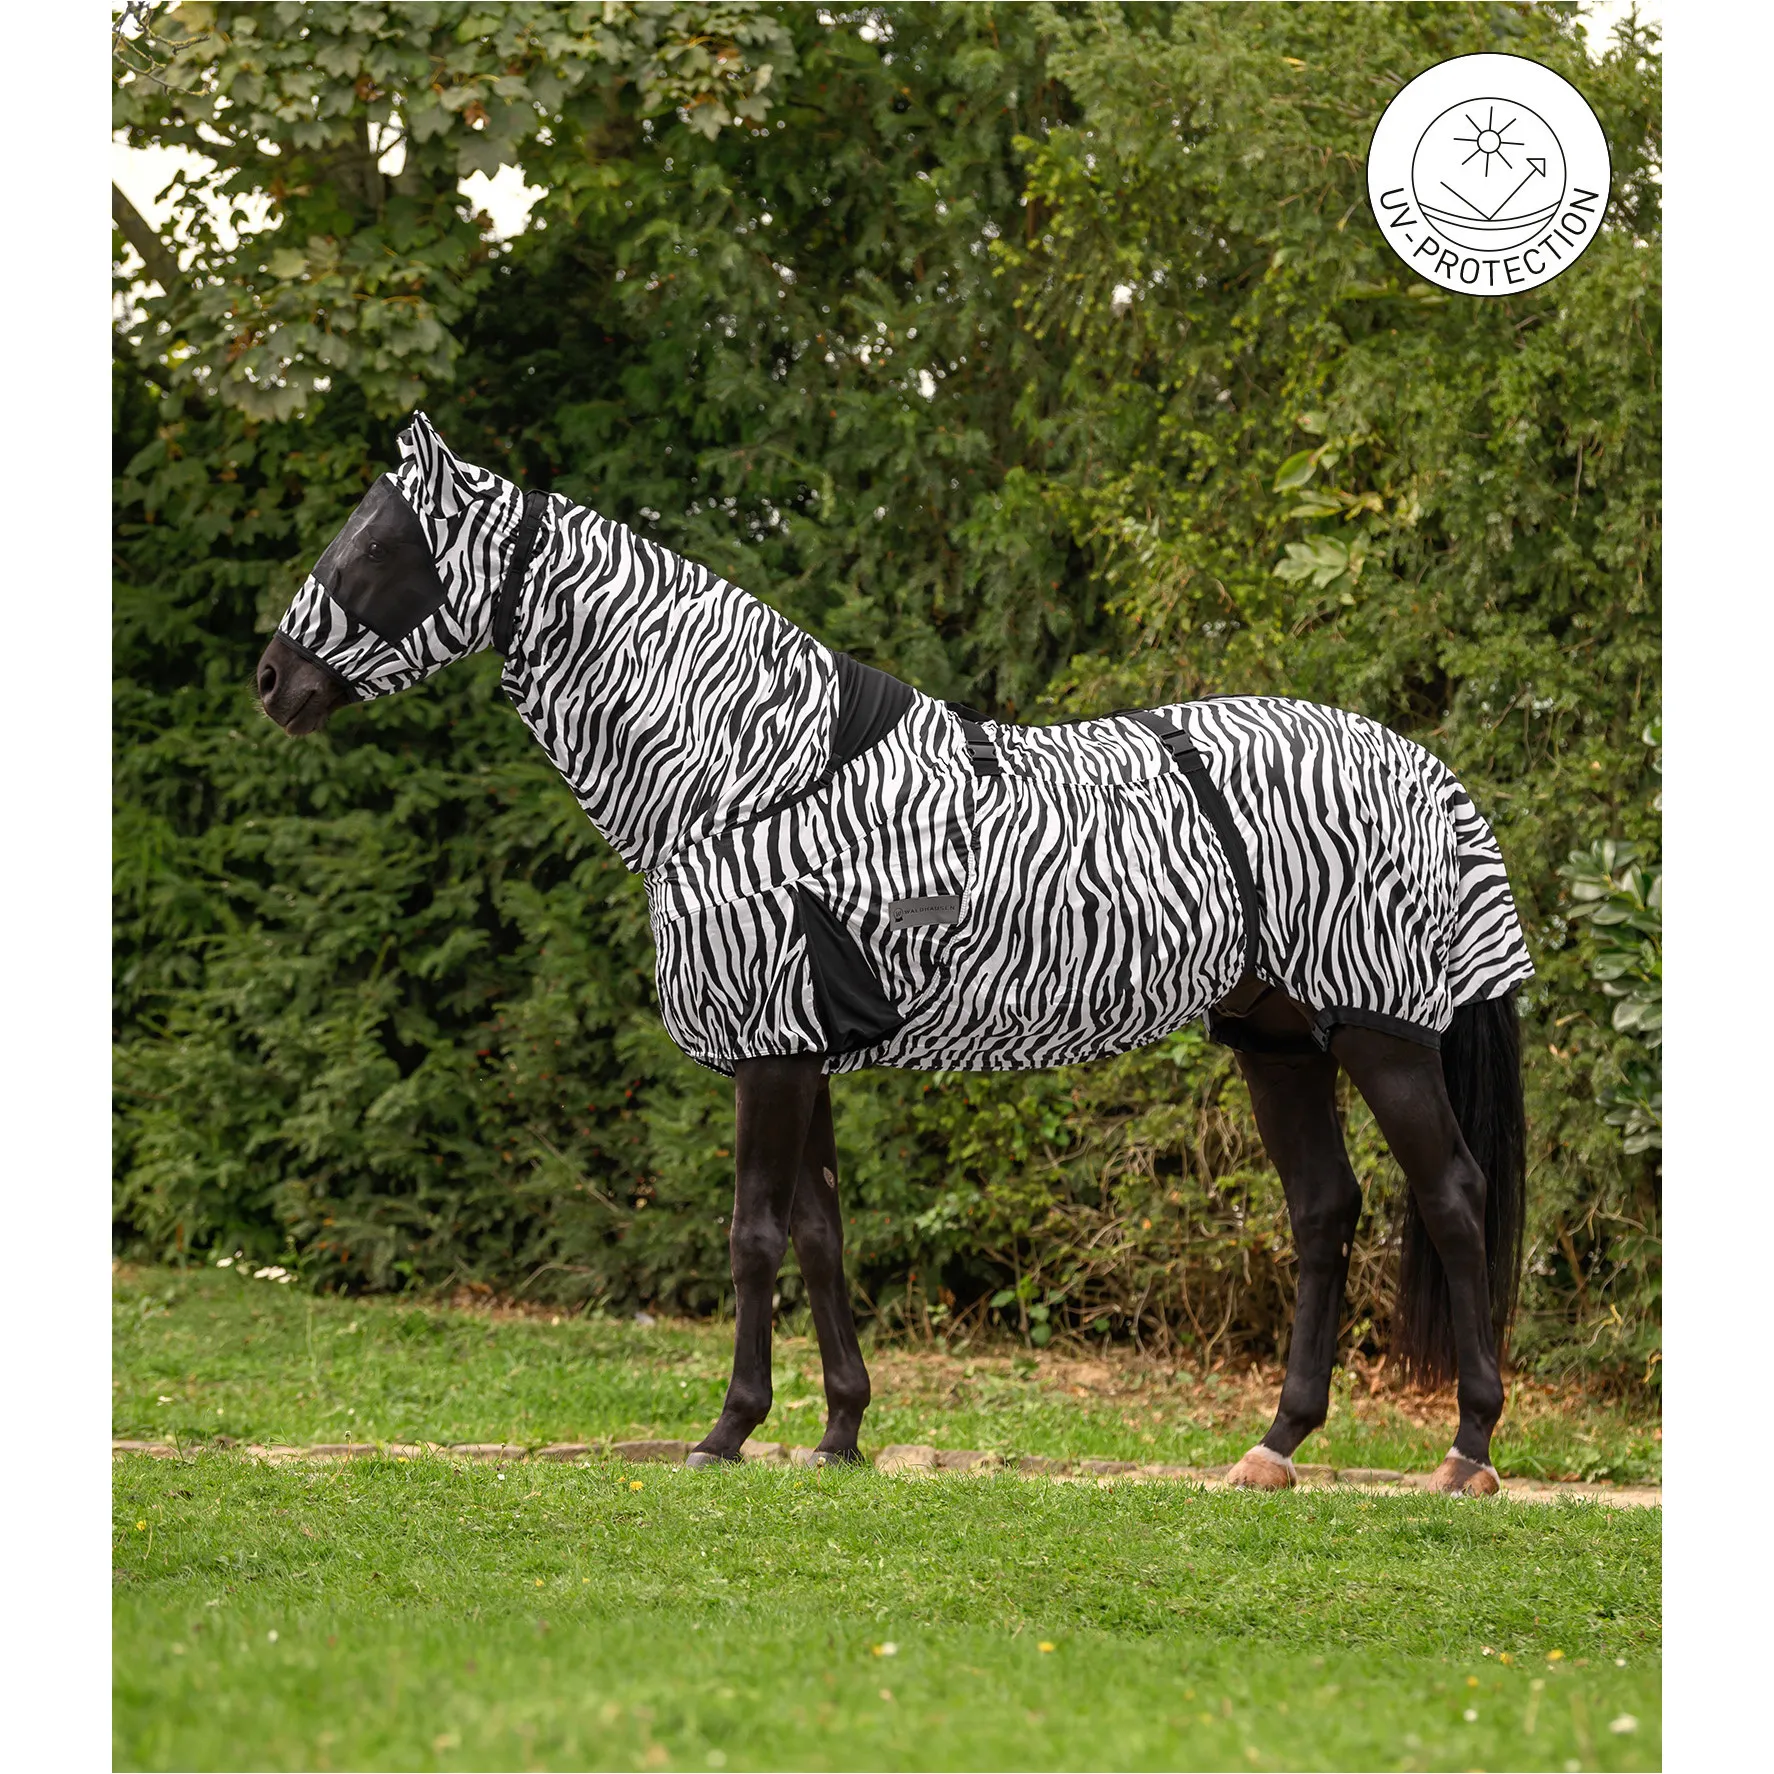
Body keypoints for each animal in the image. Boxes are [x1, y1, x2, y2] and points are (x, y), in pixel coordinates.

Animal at [257, 413, 1535, 1495]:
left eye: (376, 543)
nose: (274, 681)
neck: (748, 778)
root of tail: (1418, 765)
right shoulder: (800, 1049)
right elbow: (819, 1237)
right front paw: (838, 1430)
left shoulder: (770, 1050)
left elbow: (752, 1236)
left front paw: (728, 1430)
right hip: (1276, 1040)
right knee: (1324, 1210)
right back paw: (1275, 1445)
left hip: (1379, 1034)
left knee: (1453, 1197)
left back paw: (1468, 1448)